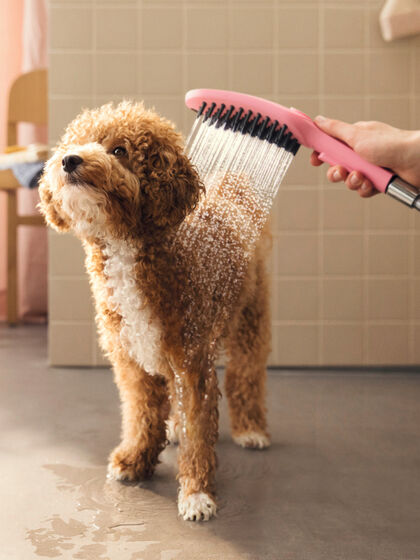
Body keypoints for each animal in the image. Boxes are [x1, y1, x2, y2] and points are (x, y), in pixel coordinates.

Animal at [37, 101, 270, 520]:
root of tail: (233, 188)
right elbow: (141, 414)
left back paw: (251, 429)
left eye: (119, 150)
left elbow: (198, 431)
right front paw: (135, 460)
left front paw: (196, 493)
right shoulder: (132, 361)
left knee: (246, 374)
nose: (69, 160)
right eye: (74, 142)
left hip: (249, 321)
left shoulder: (193, 363)